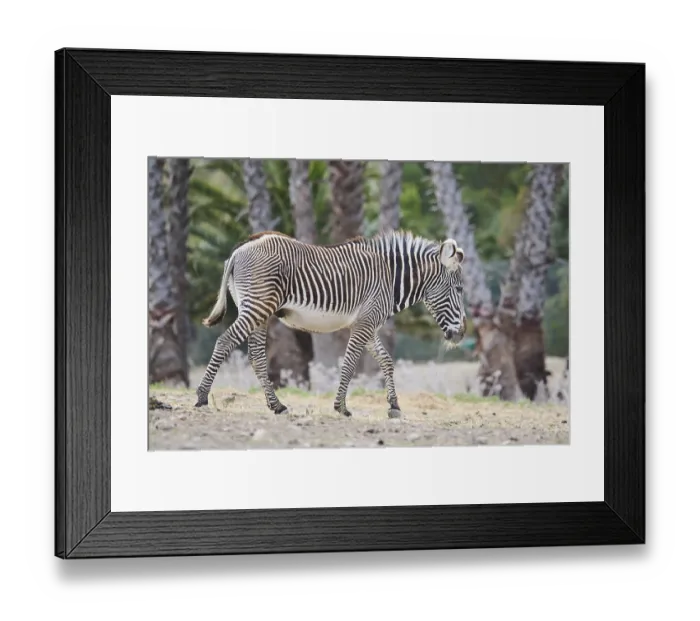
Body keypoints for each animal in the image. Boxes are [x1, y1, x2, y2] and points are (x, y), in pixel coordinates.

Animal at [195, 230, 467, 418]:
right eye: (459, 289)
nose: (461, 334)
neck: (390, 279)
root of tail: (241, 248)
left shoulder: (368, 325)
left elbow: (386, 361)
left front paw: (394, 406)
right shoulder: (365, 324)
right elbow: (349, 364)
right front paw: (341, 407)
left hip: (259, 311)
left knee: (256, 356)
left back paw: (277, 405)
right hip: (258, 306)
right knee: (224, 341)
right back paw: (202, 397)